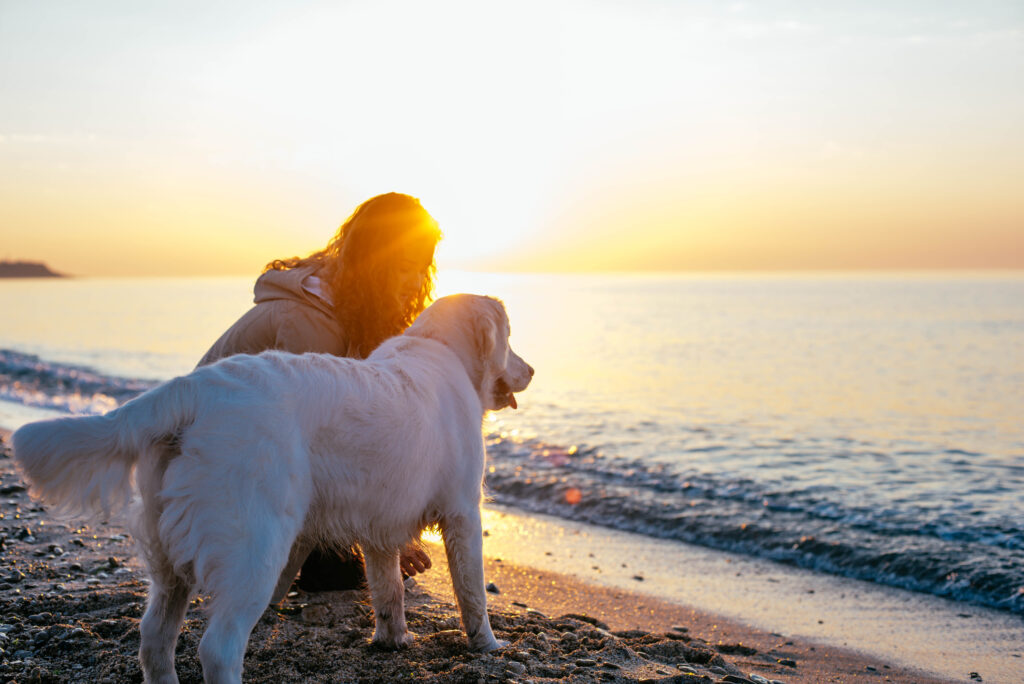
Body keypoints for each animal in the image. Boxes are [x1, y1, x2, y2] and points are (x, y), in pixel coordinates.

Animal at [12, 294, 532, 684]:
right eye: (509, 338)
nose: (529, 371)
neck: (438, 348)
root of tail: (191, 388)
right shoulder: (463, 512)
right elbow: (472, 594)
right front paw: (490, 646)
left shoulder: (380, 524)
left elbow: (388, 592)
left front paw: (392, 641)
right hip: (253, 552)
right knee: (218, 648)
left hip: (167, 560)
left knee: (154, 639)